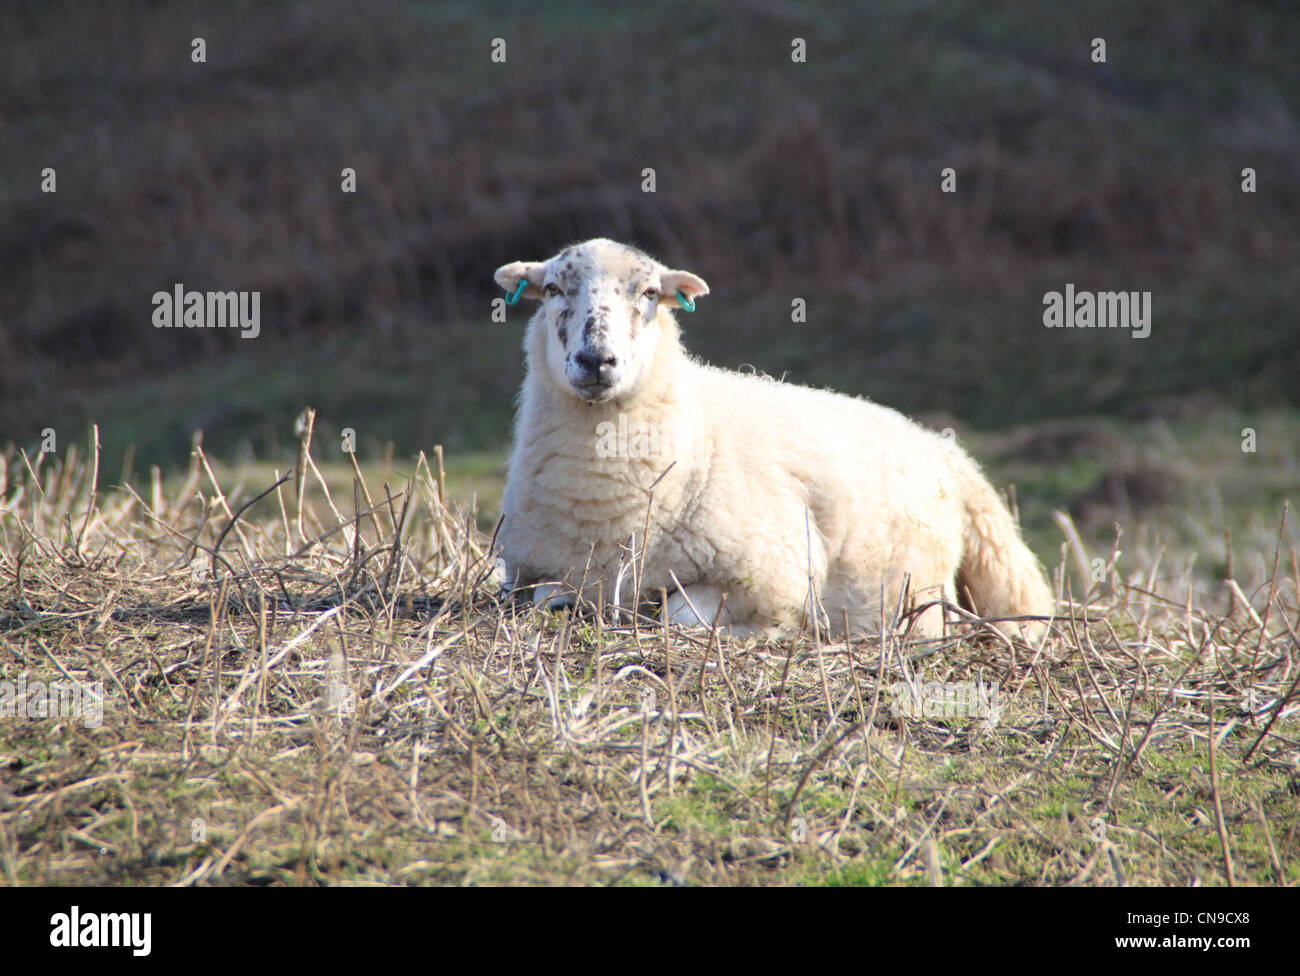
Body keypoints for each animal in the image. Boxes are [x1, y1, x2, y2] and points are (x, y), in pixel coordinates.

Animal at [491, 239, 1050, 642]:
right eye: (554, 289)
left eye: (649, 294)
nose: (596, 360)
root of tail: (946, 449)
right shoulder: (536, 573)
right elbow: (548, 599)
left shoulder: (774, 577)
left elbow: (682, 616)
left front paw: (780, 632)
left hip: (917, 591)